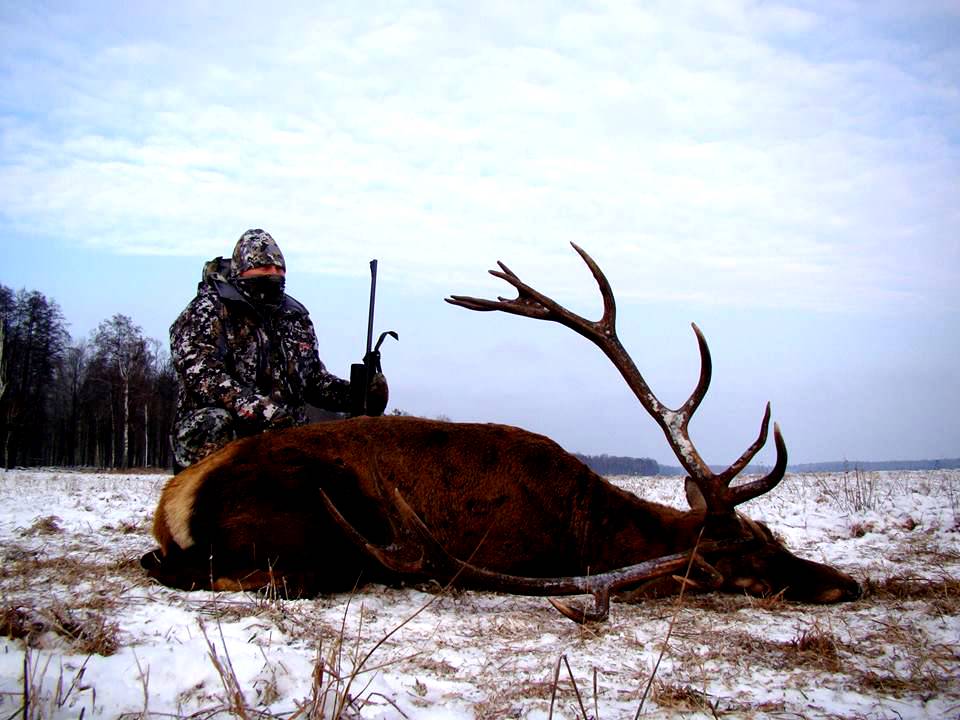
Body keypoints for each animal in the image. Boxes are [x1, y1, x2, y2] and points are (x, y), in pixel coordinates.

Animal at [144, 246, 864, 620]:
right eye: (748, 564)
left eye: (769, 534)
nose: (849, 583)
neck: (589, 528)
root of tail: (176, 498)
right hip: (310, 526)